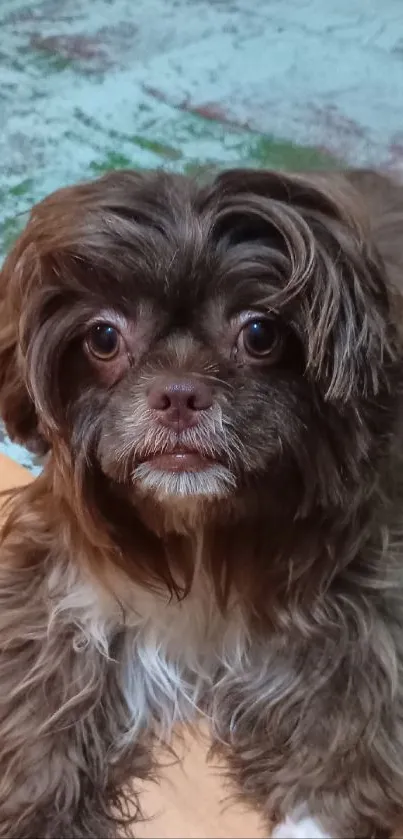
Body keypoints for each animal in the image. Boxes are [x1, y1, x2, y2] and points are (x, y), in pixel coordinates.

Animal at [0, 167, 402, 836]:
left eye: (260, 334)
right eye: (103, 338)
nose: (179, 393)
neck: (201, 535)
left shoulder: (363, 616)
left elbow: (347, 737)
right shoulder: (54, 596)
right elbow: (37, 712)